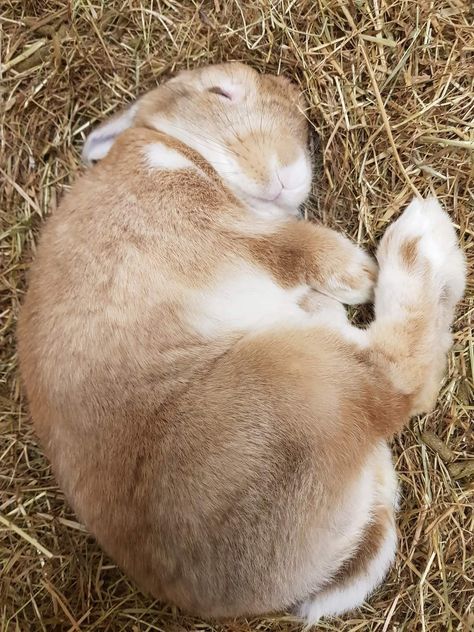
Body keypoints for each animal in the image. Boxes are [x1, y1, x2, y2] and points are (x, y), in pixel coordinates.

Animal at [15, 61, 466, 624]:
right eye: (222, 91)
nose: (290, 171)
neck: (175, 145)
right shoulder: (216, 225)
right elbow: (294, 248)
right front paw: (358, 273)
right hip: (296, 381)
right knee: (398, 380)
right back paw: (423, 239)